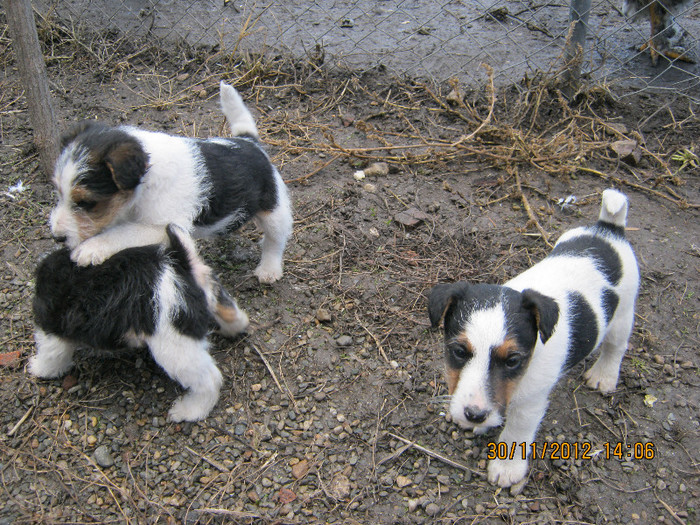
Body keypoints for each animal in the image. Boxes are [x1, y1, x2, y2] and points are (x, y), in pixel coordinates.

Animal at [30, 223, 249, 420]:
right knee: (230, 312)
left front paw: (39, 368)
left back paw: (189, 411)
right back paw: (234, 327)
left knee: (210, 379)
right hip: (210, 296)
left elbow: (51, 354)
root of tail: (181, 265)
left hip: (175, 349)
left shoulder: (51, 327)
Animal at [51, 81, 292, 282]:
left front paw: (90, 248)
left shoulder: (159, 227)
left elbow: (121, 233)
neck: (146, 179)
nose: (57, 237)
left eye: (87, 203)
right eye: (59, 192)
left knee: (275, 241)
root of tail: (248, 142)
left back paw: (269, 270)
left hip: (274, 211)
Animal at [426, 190, 640, 490]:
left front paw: (507, 468)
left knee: (615, 347)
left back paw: (604, 376)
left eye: (512, 360)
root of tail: (608, 229)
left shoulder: (530, 403)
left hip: (623, 314)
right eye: (459, 351)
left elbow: (516, 434)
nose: (474, 415)